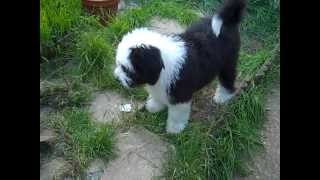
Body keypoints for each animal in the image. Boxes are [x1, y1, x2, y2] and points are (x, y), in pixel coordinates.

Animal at [114, 0, 246, 134]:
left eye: (126, 69)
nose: (116, 78)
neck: (163, 64)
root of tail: (227, 20)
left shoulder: (180, 96)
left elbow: (177, 114)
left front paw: (174, 129)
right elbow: (158, 97)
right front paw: (154, 106)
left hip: (228, 61)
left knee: (228, 78)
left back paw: (222, 96)